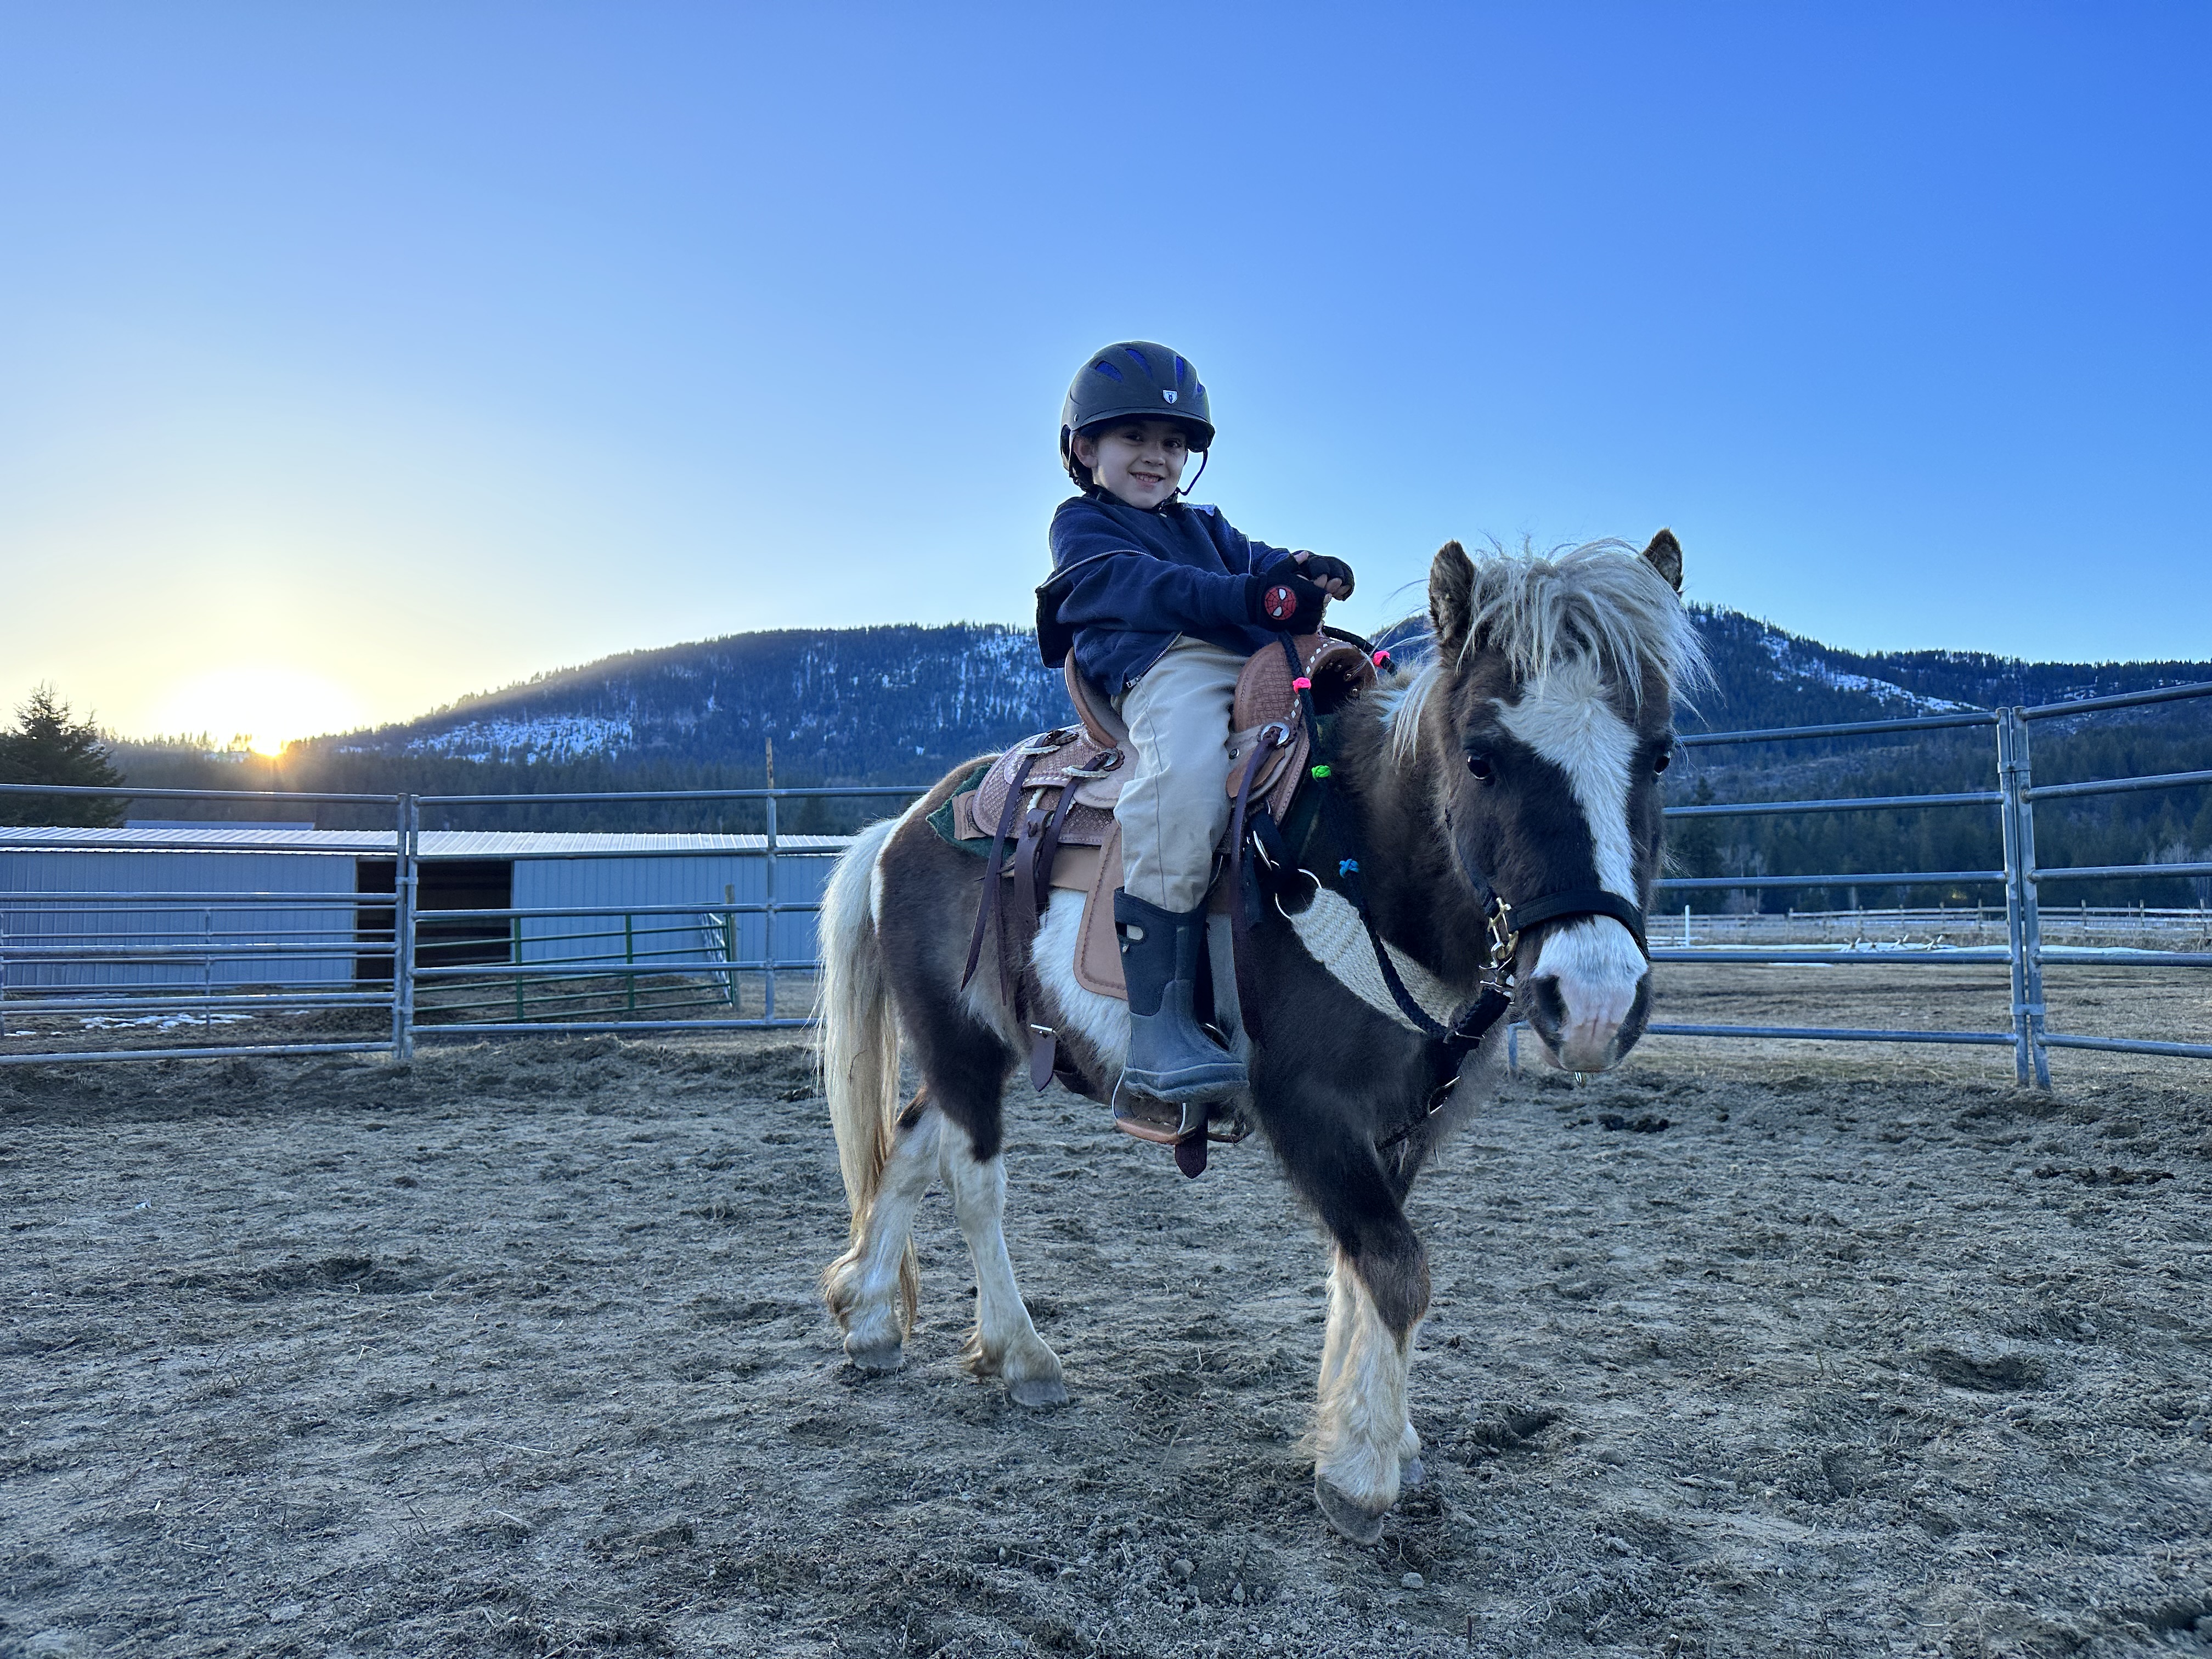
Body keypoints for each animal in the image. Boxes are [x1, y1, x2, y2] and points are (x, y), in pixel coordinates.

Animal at [814, 532, 1705, 1542]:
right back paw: (1022, 1354)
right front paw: (1360, 1471)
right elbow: (1394, 1266)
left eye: (1660, 755)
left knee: (911, 1142)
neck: (1359, 857)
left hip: (975, 1043)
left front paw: (1372, 1432)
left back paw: (868, 1314)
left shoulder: (1404, 1123)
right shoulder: (1306, 1105)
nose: (1593, 999)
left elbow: (1357, 1266)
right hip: (960, 1037)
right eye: (1481, 758)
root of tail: (900, 826)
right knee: (973, 1182)